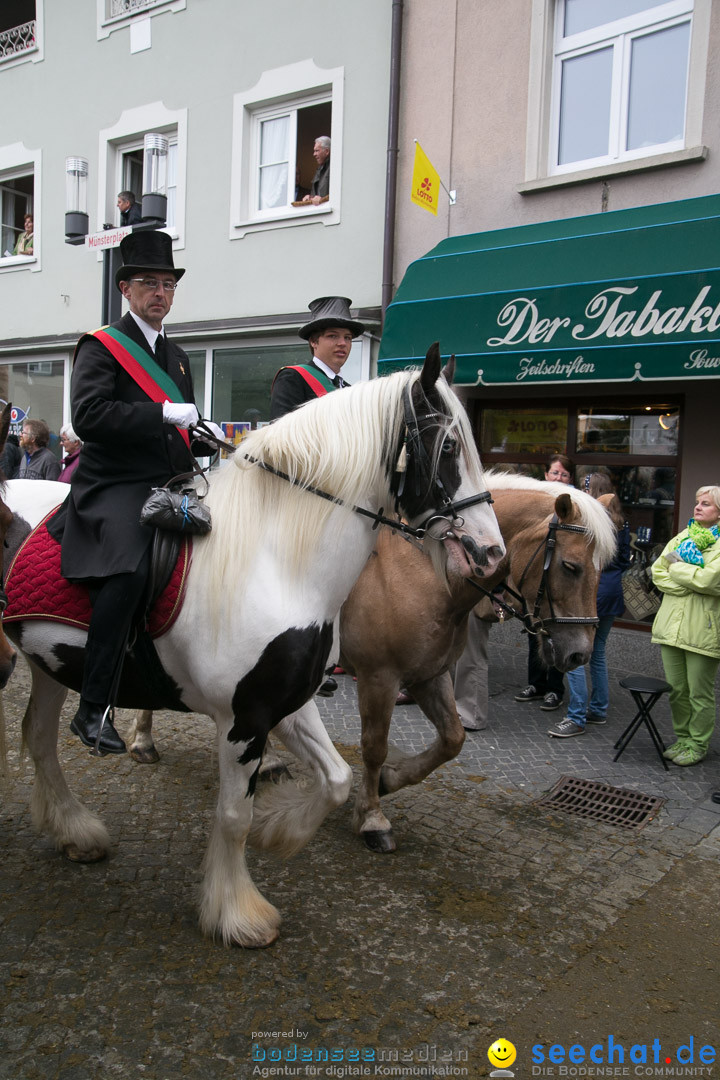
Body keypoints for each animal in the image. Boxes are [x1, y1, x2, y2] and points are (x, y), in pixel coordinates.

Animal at [4, 349, 507, 950]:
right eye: (449, 446)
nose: (492, 553)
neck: (278, 563)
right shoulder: (243, 717)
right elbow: (231, 816)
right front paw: (237, 912)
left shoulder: (287, 702)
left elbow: (336, 779)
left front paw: (277, 827)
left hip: (49, 663)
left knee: (39, 738)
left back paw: (75, 832)